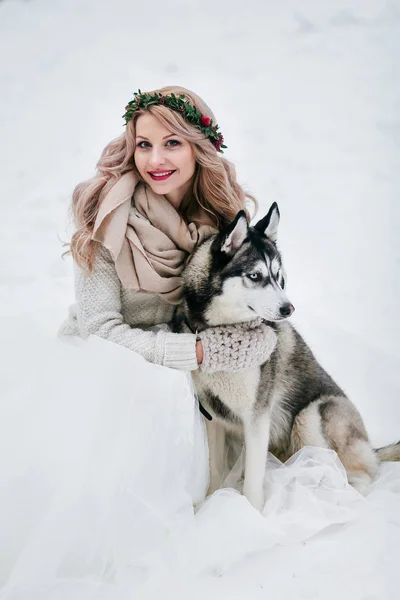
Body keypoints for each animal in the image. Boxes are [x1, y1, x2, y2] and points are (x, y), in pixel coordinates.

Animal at [173, 204, 400, 508]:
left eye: (279, 277)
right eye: (255, 276)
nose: (288, 308)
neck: (221, 332)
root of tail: (370, 446)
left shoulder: (257, 418)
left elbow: (253, 483)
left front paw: (251, 513)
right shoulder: (214, 416)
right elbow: (216, 469)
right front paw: (212, 502)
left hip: (310, 417)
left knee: (357, 475)